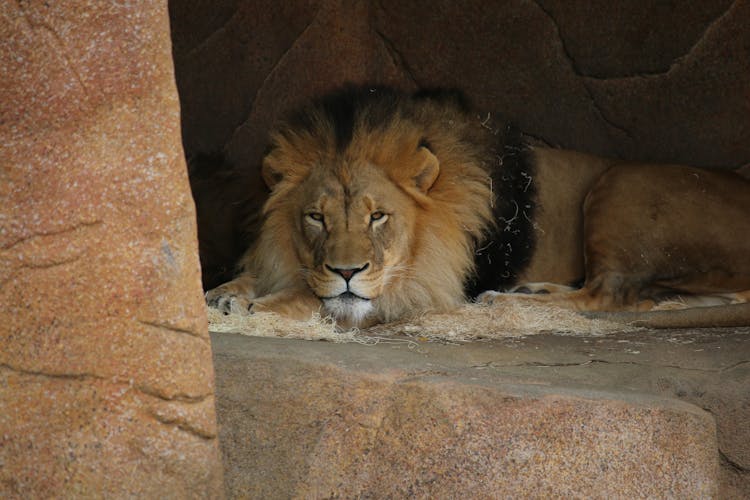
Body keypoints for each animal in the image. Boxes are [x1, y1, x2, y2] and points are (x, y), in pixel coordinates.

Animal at [207, 86, 750, 328]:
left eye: (378, 216)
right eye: (315, 218)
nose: (345, 270)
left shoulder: (424, 285)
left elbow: (328, 298)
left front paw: (261, 303)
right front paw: (226, 290)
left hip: (620, 182)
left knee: (610, 295)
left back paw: (504, 301)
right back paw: (533, 290)